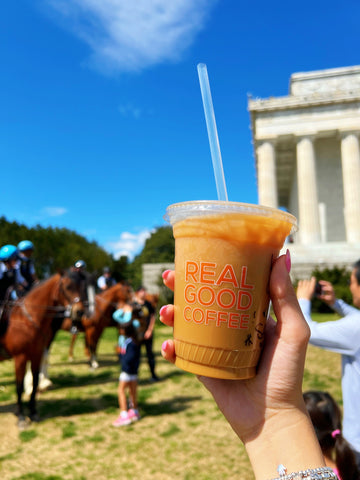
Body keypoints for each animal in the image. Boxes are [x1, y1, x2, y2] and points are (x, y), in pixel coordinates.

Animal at [0, 270, 85, 428]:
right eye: (68, 286)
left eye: (81, 286)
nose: (79, 312)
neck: (27, 319)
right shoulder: (20, 358)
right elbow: (19, 387)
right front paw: (21, 417)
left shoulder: (36, 355)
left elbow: (34, 383)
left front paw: (33, 413)